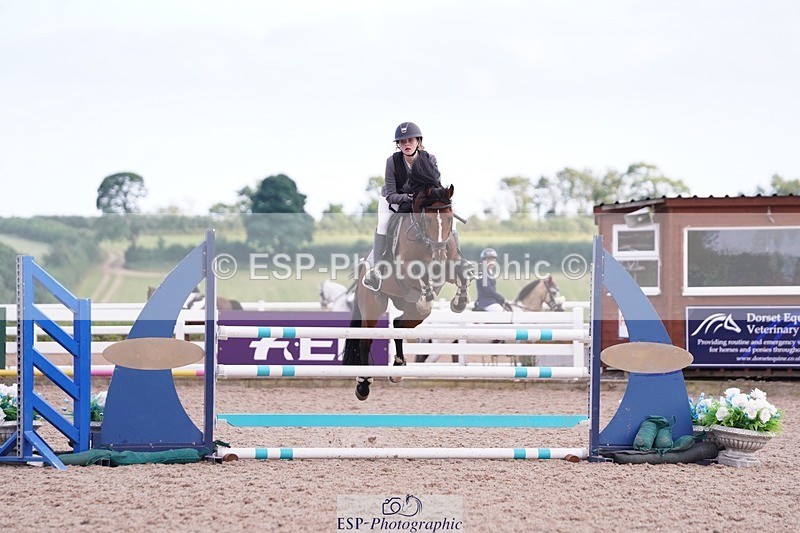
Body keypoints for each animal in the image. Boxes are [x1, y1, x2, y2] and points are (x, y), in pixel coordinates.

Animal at [342, 156, 475, 400]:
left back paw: (398, 367)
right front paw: (428, 294)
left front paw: (459, 301)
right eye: (428, 220)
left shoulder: (450, 266)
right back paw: (363, 384)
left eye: (450, 219)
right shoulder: (406, 271)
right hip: (373, 304)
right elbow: (419, 276)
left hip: (409, 309)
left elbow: (462, 274)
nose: (439, 255)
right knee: (366, 339)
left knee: (399, 323)